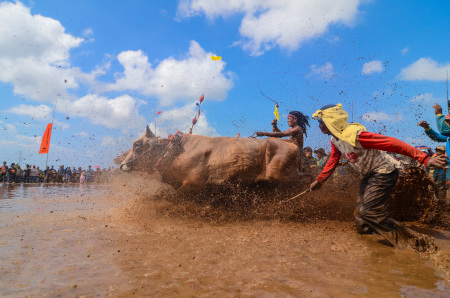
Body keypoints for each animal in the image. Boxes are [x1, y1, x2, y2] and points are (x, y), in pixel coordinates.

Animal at [119, 126, 310, 191]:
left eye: (137, 145)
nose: (122, 165)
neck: (176, 152)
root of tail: (293, 145)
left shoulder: (192, 184)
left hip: (284, 176)